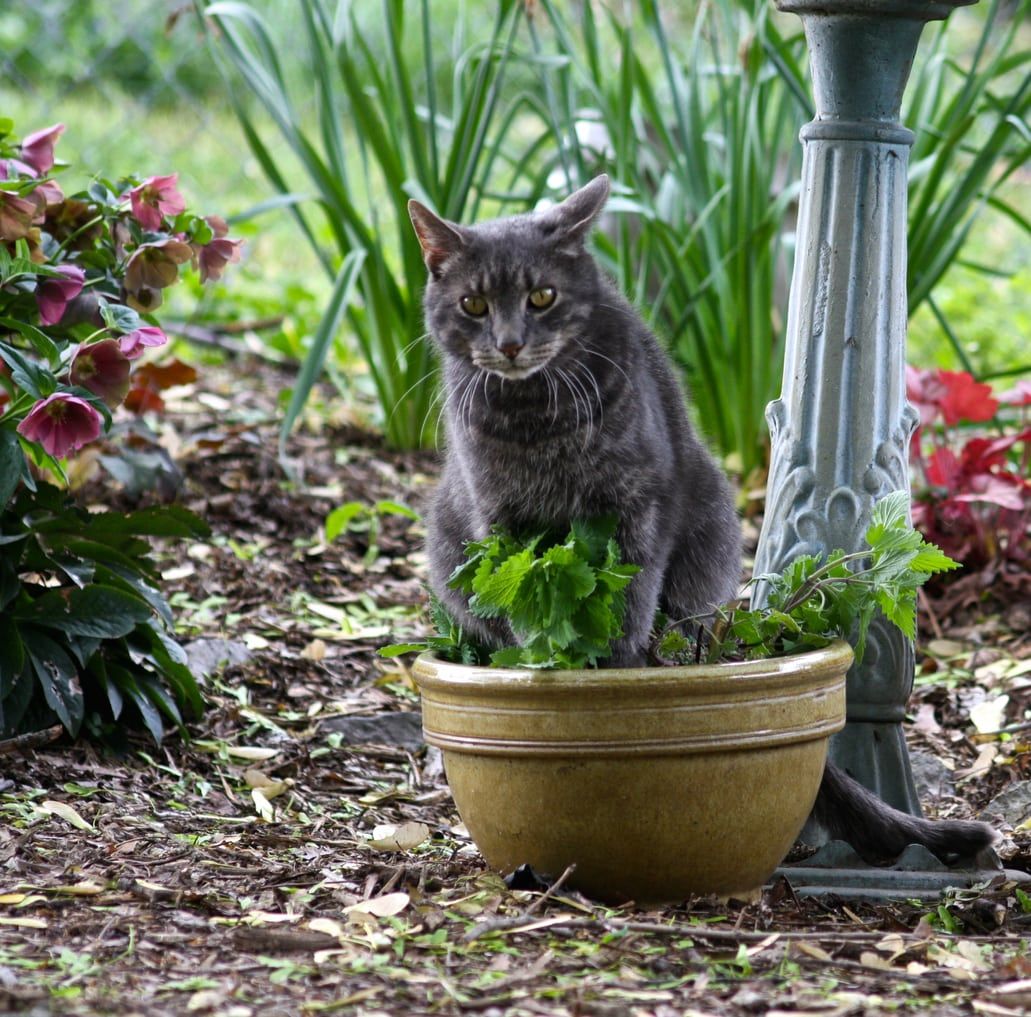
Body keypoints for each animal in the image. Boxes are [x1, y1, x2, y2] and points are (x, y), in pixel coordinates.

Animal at [408, 176, 998, 862]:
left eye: (542, 296)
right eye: (473, 304)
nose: (508, 342)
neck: (536, 421)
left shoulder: (637, 507)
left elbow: (629, 603)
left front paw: (611, 673)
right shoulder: (499, 522)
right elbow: (526, 606)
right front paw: (550, 663)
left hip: (709, 528)